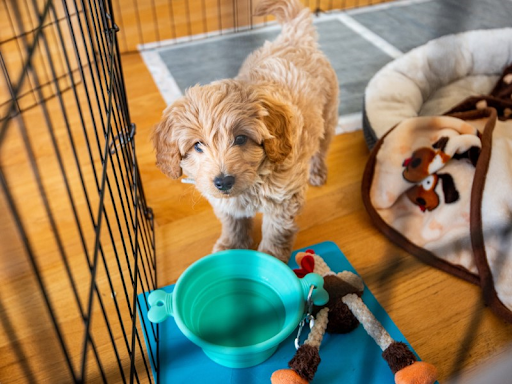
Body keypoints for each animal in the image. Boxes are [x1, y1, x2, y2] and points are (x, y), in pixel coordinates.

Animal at [154, 0, 342, 262]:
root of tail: (294, 38)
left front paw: (272, 260)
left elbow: (276, 233)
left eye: (241, 138)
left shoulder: (283, 201)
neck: (254, 180)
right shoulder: (227, 204)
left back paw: (317, 170)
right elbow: (233, 223)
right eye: (198, 145)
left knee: (321, 148)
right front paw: (231, 245)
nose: (223, 181)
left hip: (328, 113)